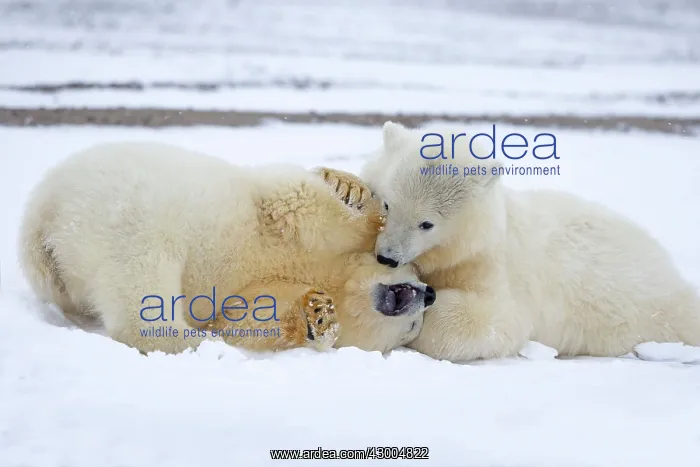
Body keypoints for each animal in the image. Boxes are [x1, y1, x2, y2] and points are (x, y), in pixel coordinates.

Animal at [18, 141, 436, 355]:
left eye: (411, 330)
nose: (429, 294)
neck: (327, 272)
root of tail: (40, 218)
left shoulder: (259, 284)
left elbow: (247, 312)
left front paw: (318, 315)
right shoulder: (284, 218)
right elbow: (299, 203)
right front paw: (351, 189)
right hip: (127, 217)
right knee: (143, 286)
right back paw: (193, 340)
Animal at [359, 121, 700, 362]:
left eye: (426, 223)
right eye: (387, 204)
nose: (388, 257)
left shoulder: (492, 265)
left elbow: (494, 319)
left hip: (647, 309)